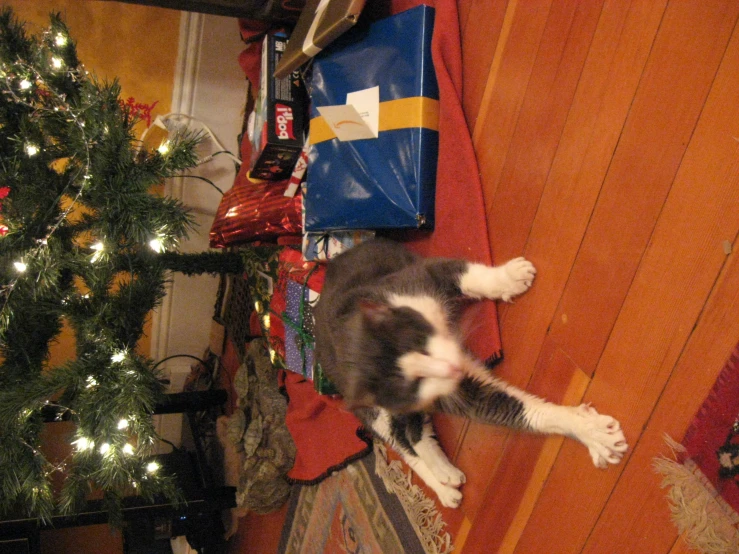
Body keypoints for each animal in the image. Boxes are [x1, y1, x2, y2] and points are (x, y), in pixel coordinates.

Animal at [312, 237, 632, 504]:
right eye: (415, 383)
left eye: (419, 342)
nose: (452, 367)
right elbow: (494, 406)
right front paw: (593, 433)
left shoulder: (410, 281)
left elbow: (464, 274)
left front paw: (511, 277)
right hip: (370, 409)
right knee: (402, 440)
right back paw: (443, 484)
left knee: (412, 431)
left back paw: (443, 469)